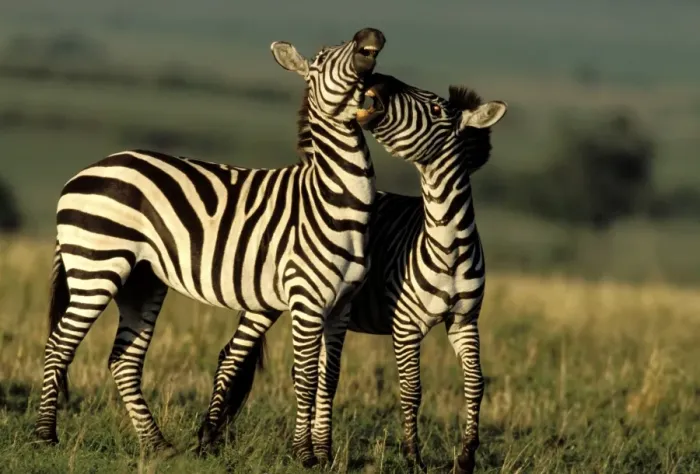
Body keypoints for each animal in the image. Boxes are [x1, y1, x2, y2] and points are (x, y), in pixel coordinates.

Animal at [34, 27, 386, 467]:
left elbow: (329, 378)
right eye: (321, 61)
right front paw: (304, 454)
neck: (336, 198)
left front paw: (324, 454)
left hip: (142, 280)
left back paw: (158, 445)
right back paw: (45, 437)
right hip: (97, 267)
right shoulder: (306, 299)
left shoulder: (341, 305)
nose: (369, 36)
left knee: (123, 360)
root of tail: (81, 174)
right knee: (58, 346)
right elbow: (305, 377)